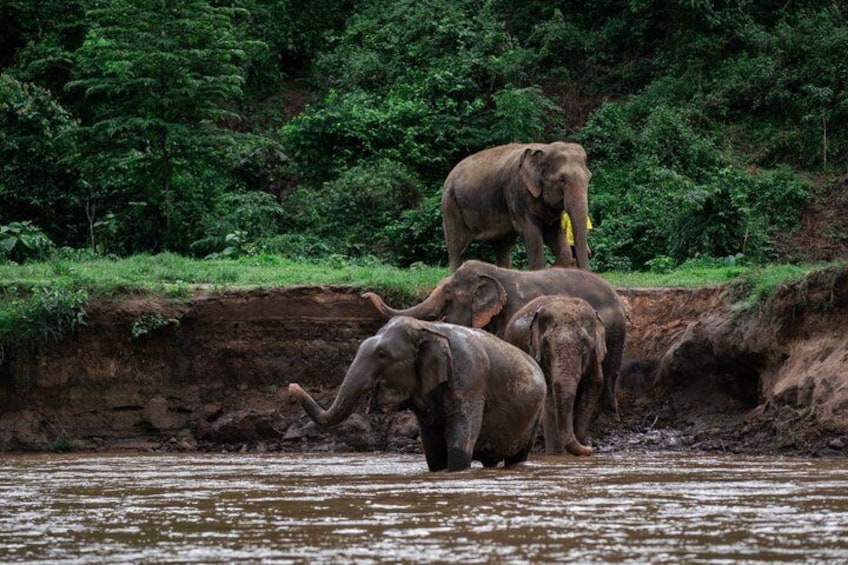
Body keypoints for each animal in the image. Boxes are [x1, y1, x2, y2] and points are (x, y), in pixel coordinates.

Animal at [288, 316, 546, 472]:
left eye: (381, 354)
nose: (292, 385)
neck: (428, 328)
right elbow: (432, 448)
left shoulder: (470, 380)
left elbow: (459, 441)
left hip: (535, 416)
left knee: (518, 456)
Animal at [441, 141, 592, 271]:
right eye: (561, 180)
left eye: (589, 177)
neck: (545, 148)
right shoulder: (517, 192)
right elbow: (532, 234)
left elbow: (554, 234)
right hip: (450, 205)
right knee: (457, 246)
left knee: (502, 246)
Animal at [505, 296, 606, 456]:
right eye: (546, 346)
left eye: (585, 345)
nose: (592, 447)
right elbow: (550, 397)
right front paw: (556, 455)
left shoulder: (595, 357)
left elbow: (594, 386)